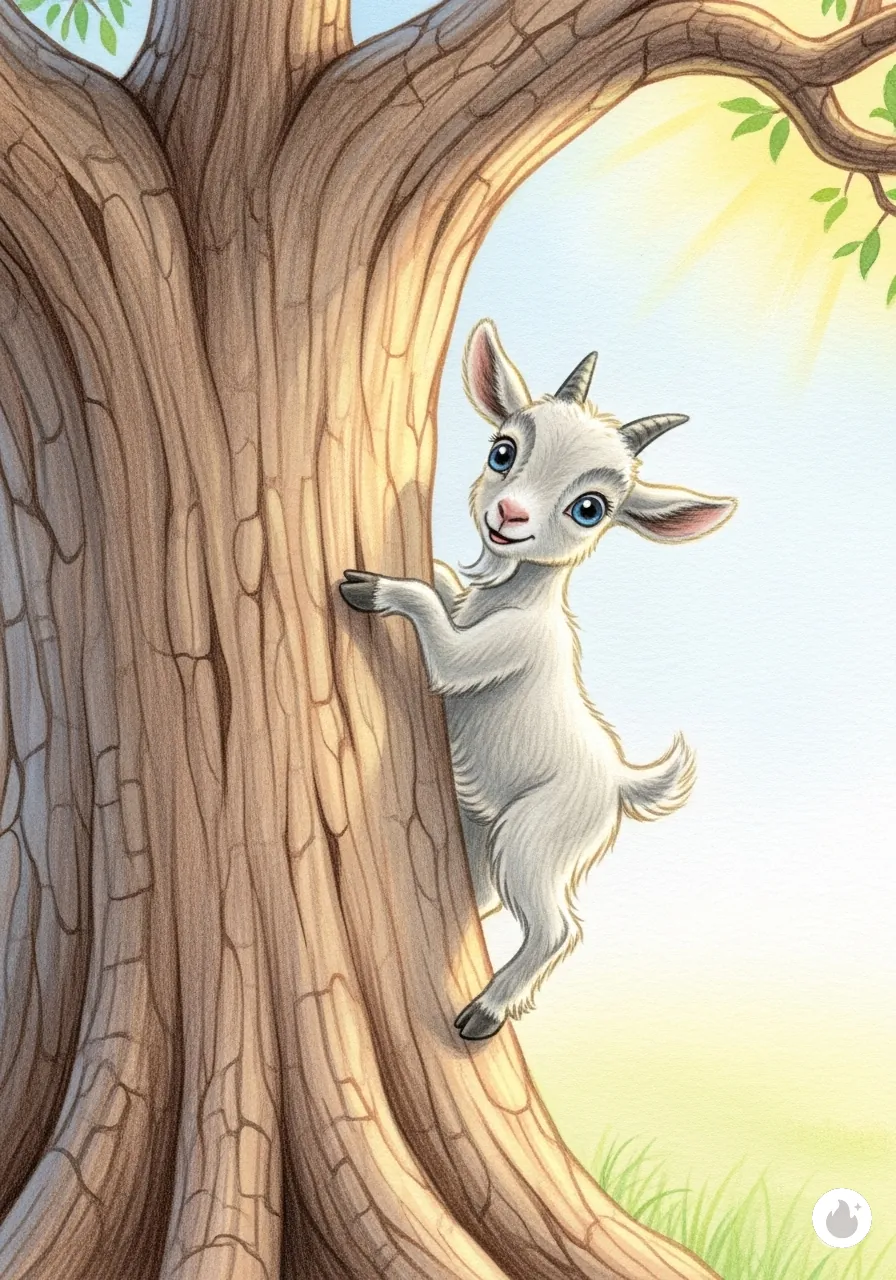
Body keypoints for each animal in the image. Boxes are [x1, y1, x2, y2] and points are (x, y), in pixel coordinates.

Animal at [340, 319, 736, 1040]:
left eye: (590, 509)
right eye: (503, 450)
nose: (509, 516)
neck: (508, 600)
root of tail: (620, 780)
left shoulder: (499, 649)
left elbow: (440, 643)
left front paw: (372, 587)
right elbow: (444, 586)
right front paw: (438, 569)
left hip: (538, 834)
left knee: (558, 928)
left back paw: (485, 1013)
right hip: (485, 832)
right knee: (484, 898)